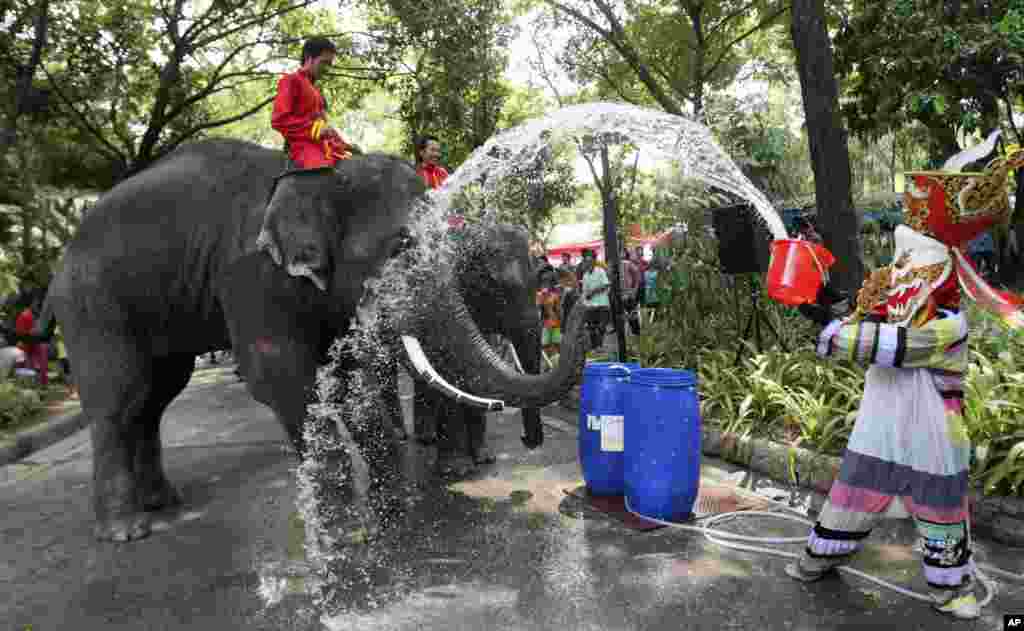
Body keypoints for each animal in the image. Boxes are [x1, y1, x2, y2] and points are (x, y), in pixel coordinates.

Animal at [39, 139, 585, 540]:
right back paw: (126, 529)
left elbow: (347, 380)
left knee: (153, 398)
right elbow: (280, 378)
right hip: (93, 304)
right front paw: (346, 534)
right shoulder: (248, 275)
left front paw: (392, 514)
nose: (579, 300)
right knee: (119, 398)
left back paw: (161, 502)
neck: (321, 177)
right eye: (399, 248)